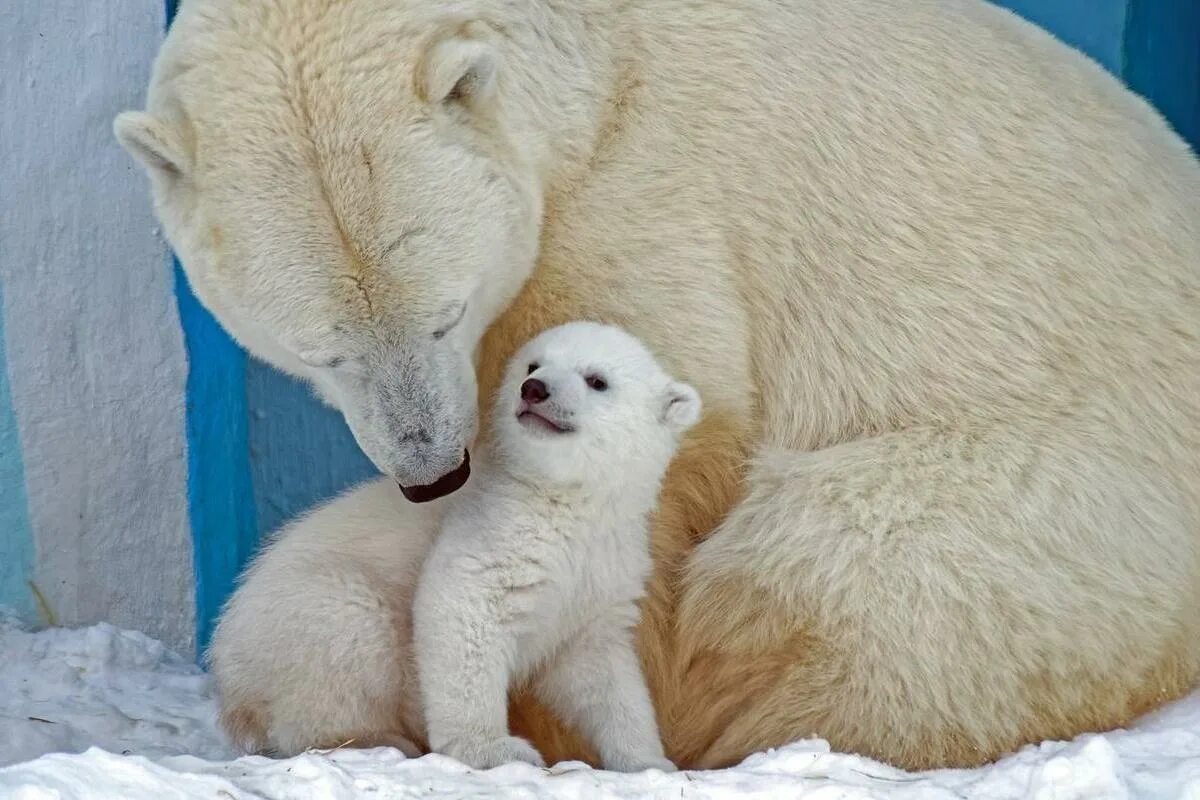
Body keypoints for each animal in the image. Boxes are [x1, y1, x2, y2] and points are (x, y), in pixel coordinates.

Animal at [114, 0, 1200, 772]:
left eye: (445, 312)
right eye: (319, 347)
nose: (430, 474)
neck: (596, 64)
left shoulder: (649, 195)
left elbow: (678, 447)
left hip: (1063, 512)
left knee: (826, 562)